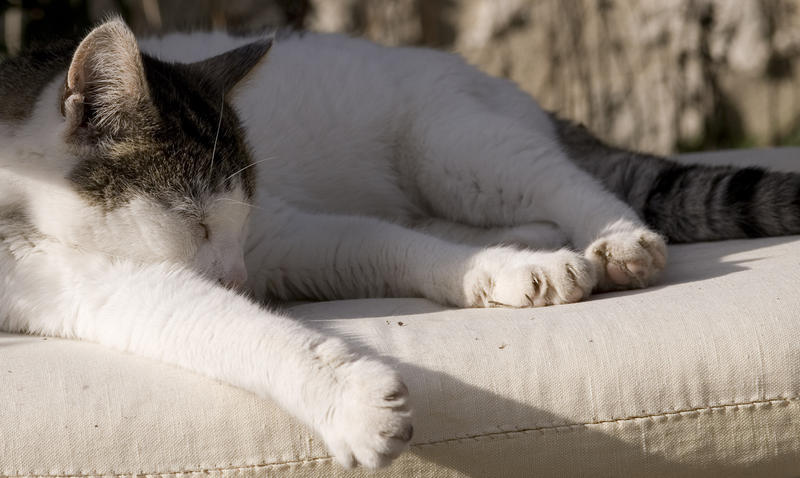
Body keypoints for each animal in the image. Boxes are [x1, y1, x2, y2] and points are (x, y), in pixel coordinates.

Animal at [3, 17, 796, 466]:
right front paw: (351, 401)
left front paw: (504, 274)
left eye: (234, 219)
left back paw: (618, 241)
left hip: (455, 147)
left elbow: (380, 242)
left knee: (560, 180)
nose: (238, 276)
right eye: (194, 221)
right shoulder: (90, 286)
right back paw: (533, 245)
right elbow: (230, 327)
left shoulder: (281, 230)